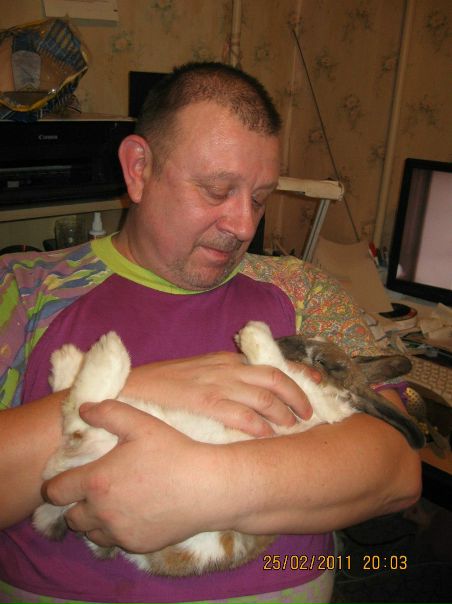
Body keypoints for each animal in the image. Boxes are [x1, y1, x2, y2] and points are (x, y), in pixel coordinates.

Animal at [33, 321, 424, 576]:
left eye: (325, 361)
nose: (285, 338)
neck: (335, 397)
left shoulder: (303, 400)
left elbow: (279, 369)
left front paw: (253, 334)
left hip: (111, 427)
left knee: (81, 410)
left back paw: (100, 352)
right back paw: (68, 361)